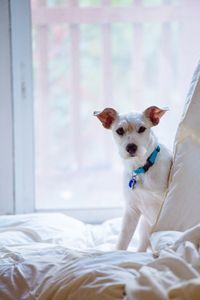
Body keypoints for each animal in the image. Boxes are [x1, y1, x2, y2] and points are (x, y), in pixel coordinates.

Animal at [94, 105, 172, 251]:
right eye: (119, 130)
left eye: (142, 129)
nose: (131, 147)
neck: (141, 169)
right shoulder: (131, 210)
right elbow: (123, 240)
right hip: (144, 227)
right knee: (141, 247)